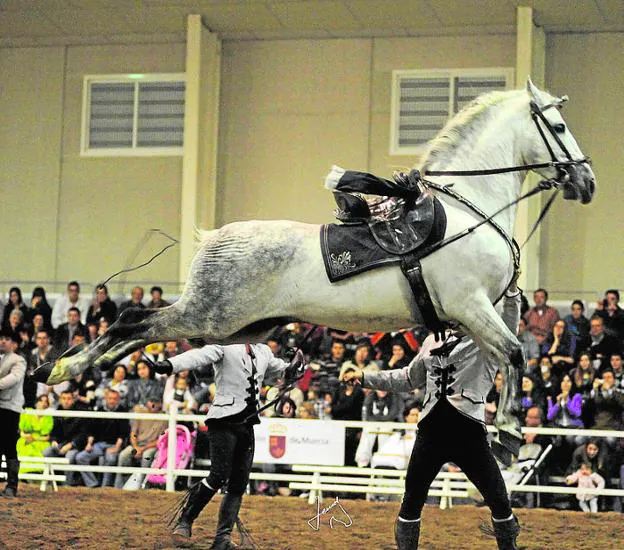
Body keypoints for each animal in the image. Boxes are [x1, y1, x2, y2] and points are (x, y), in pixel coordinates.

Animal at [35, 80, 596, 454]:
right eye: (559, 126)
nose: (586, 181)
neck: (469, 208)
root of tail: (214, 239)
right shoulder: (471, 305)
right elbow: (514, 354)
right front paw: (509, 431)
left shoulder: (479, 312)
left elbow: (506, 354)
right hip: (210, 315)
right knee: (133, 321)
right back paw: (64, 368)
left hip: (237, 325)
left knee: (139, 331)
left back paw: (69, 367)